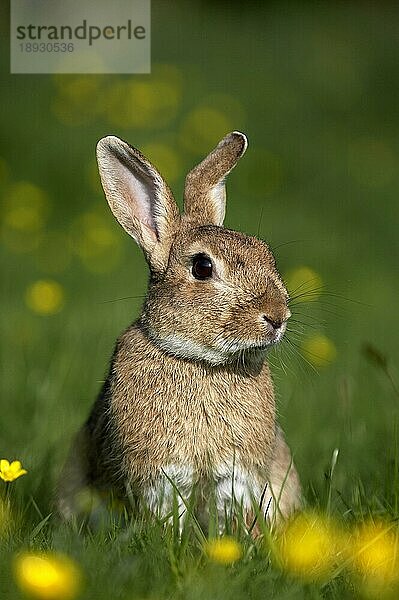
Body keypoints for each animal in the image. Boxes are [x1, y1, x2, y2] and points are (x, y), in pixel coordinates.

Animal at [57, 131, 302, 528]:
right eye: (202, 267)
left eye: (265, 252)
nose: (277, 316)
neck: (201, 362)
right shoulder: (162, 474)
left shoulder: (236, 474)